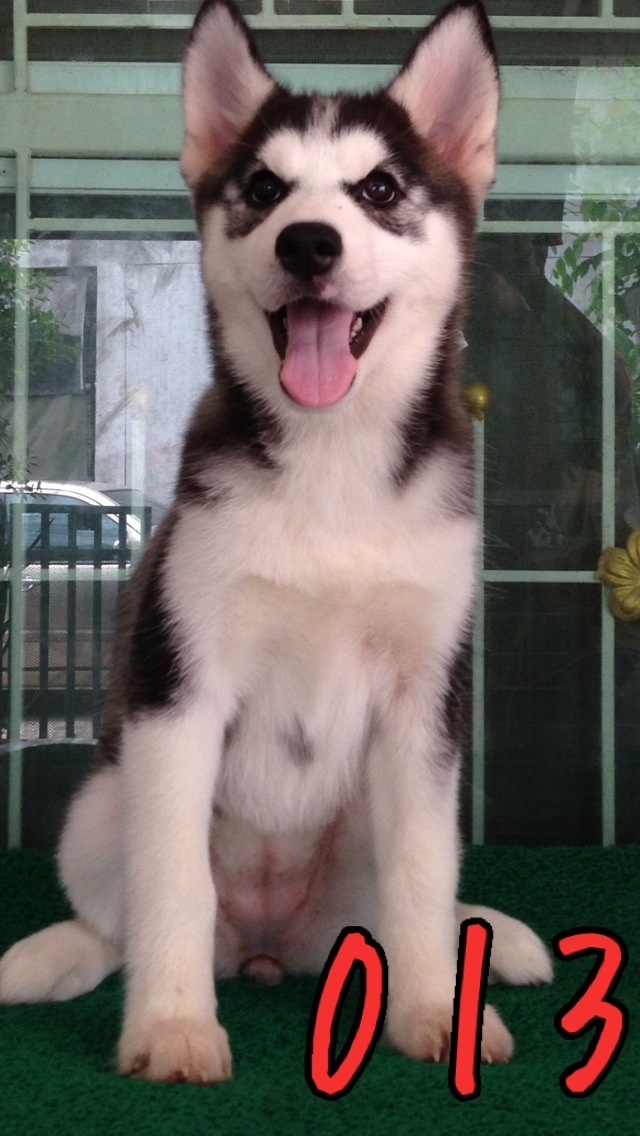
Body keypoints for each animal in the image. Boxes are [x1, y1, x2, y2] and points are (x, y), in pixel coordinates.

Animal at [0, 0, 552, 1083]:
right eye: (263, 189)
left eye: (379, 189)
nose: (307, 243)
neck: (330, 466)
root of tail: (267, 944)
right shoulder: (180, 686)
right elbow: (173, 883)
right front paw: (172, 1025)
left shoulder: (423, 703)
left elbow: (423, 871)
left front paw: (433, 1006)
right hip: (103, 800)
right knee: (118, 918)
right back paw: (59, 956)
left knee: (403, 902)